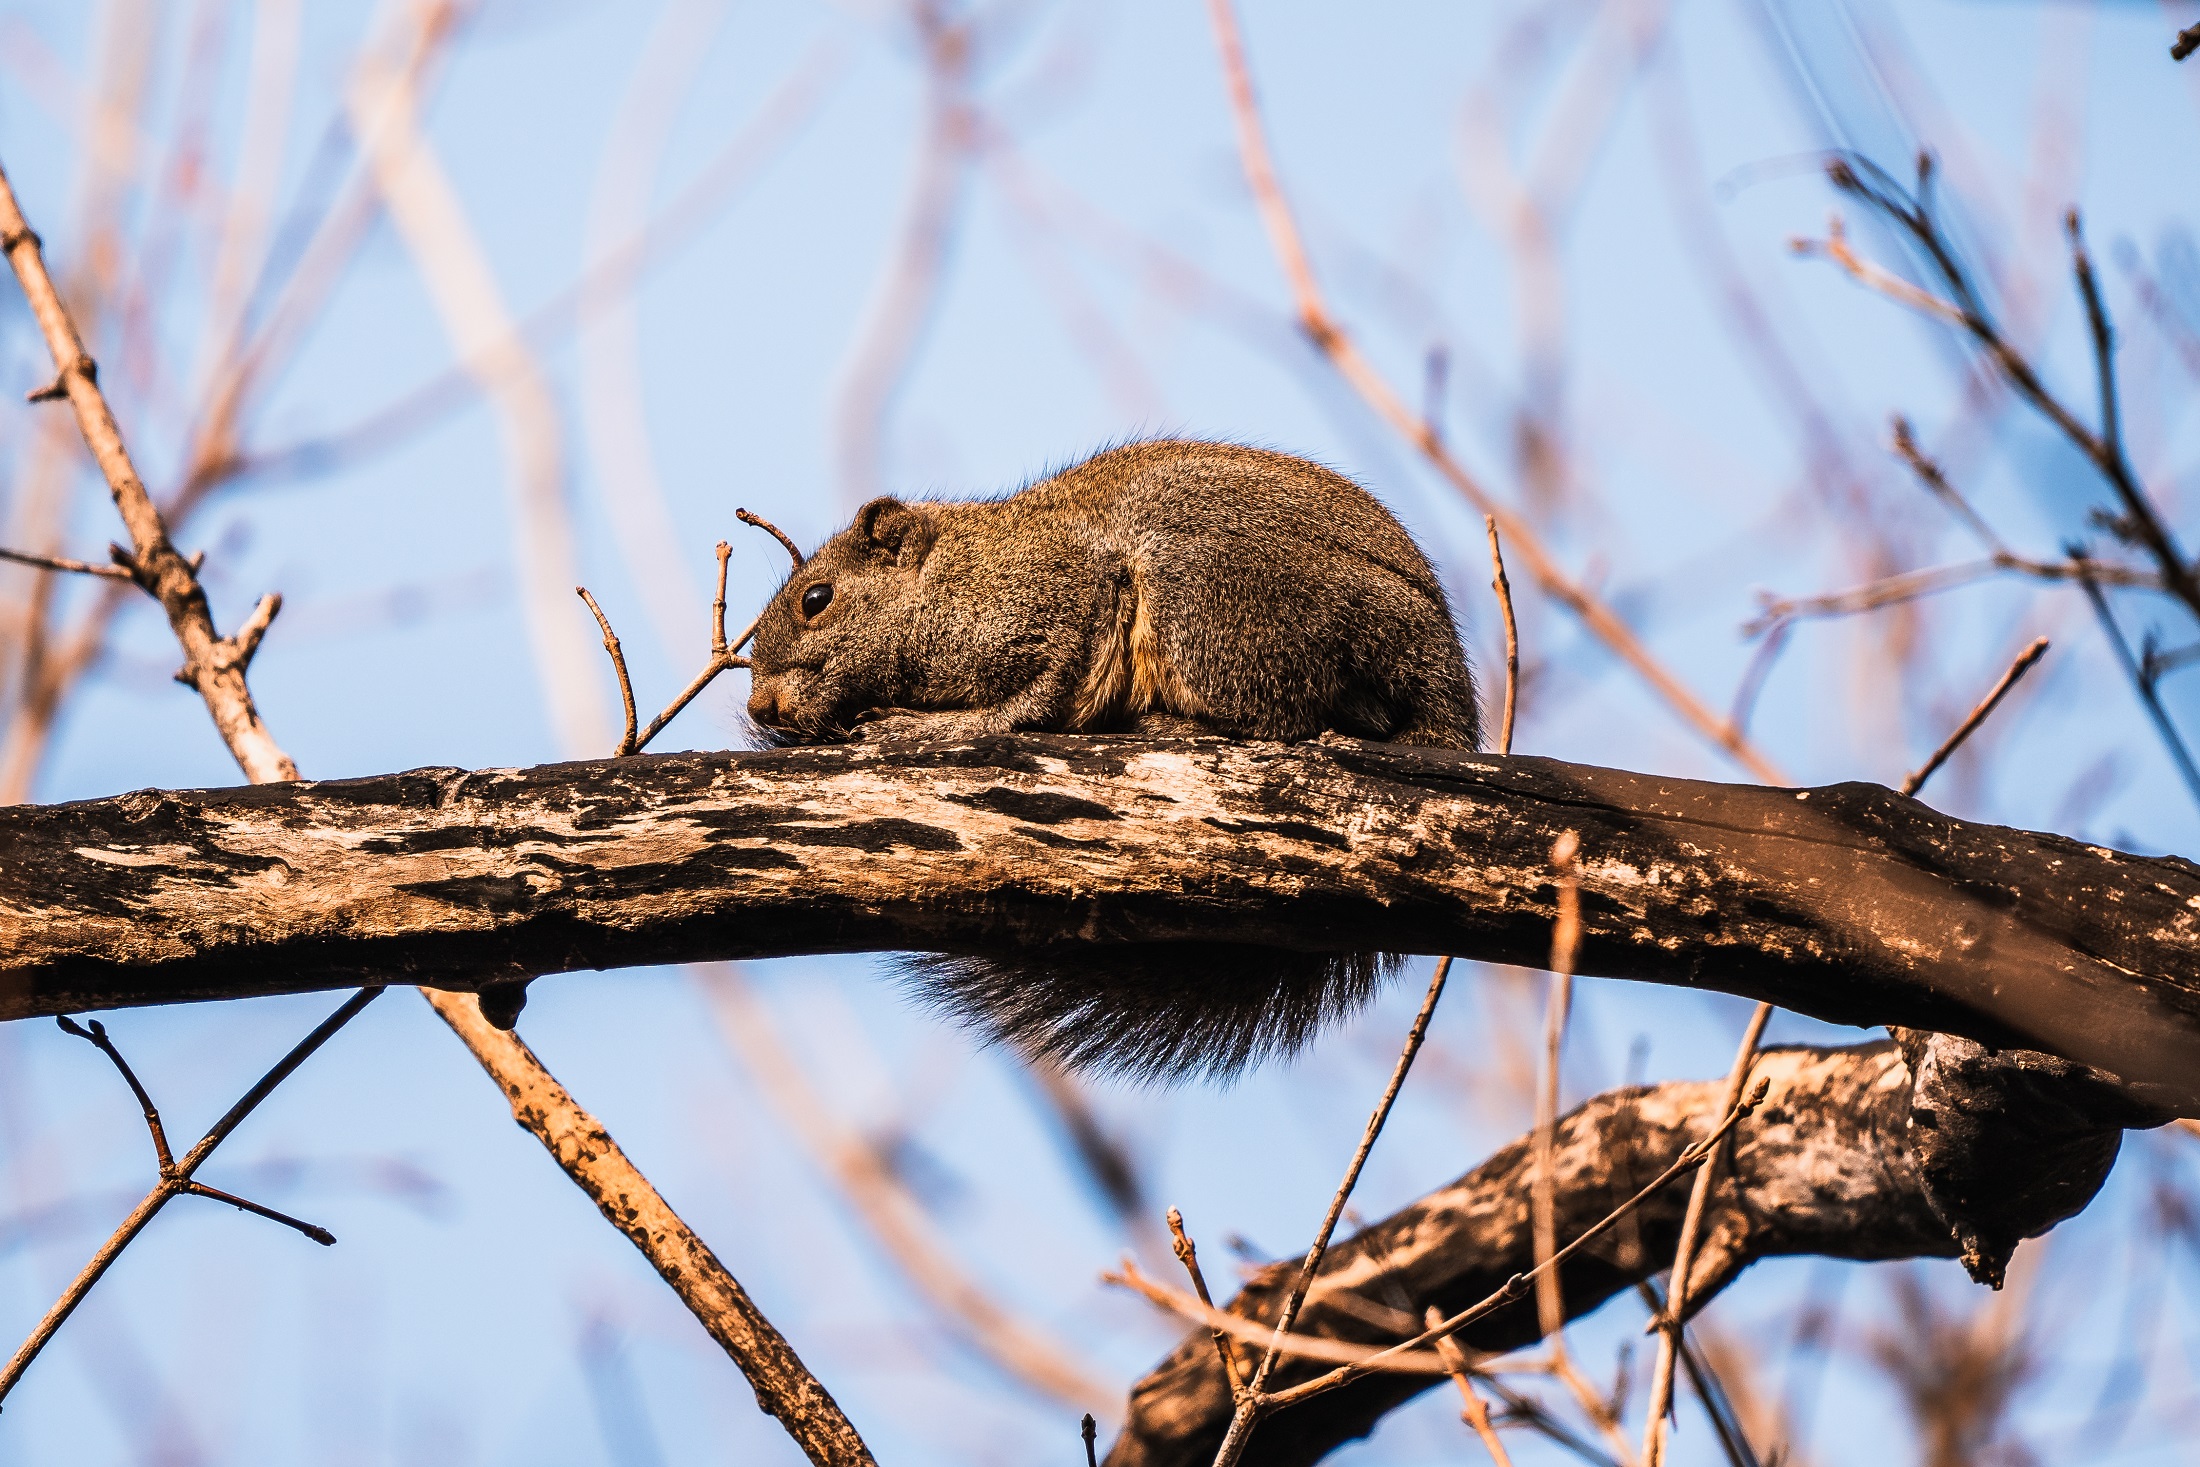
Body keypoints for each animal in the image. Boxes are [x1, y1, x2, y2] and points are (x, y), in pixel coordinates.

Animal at [745, 439, 1479, 1080]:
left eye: (816, 599)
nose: (759, 707)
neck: (952, 578)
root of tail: (1443, 681)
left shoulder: (1063, 597)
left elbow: (1036, 695)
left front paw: (933, 724)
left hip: (1217, 593)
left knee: (1284, 717)